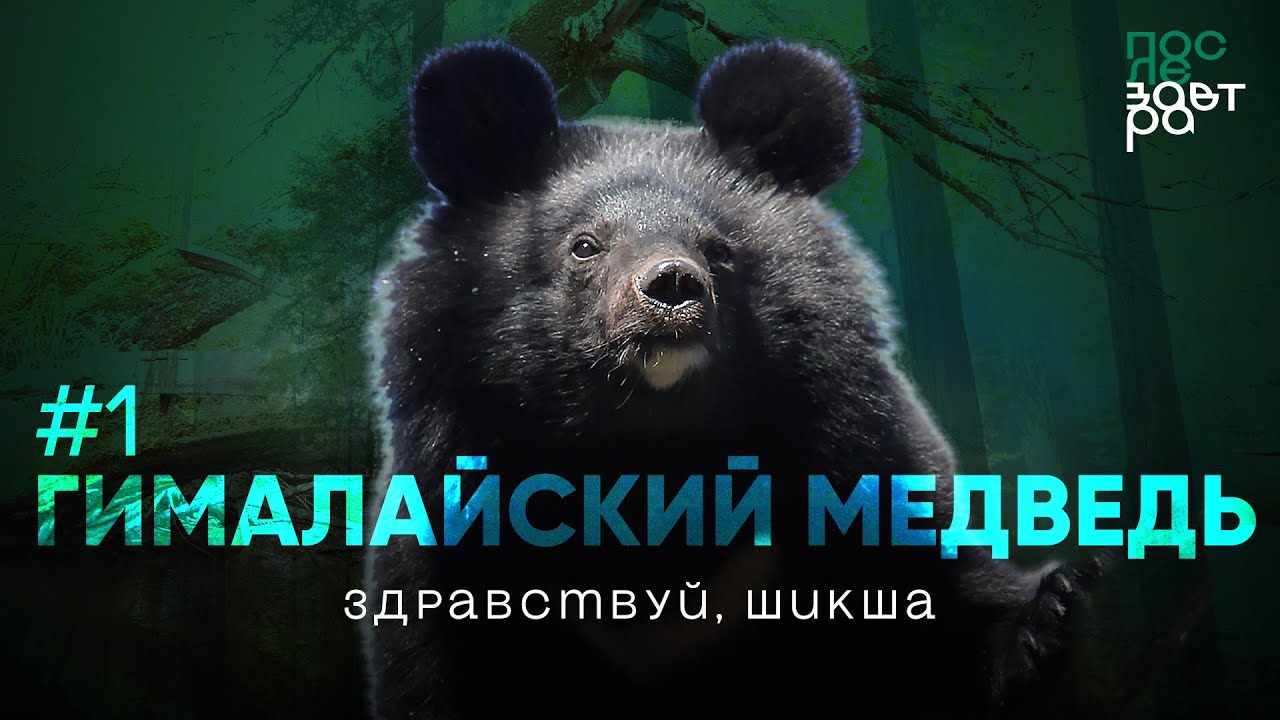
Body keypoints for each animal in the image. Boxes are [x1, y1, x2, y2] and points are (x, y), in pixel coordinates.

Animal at [362, 39, 1099, 719]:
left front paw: (1052, 610)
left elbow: (939, 595)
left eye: (717, 250)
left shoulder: (853, 459)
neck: (653, 450)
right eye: (585, 246)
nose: (671, 287)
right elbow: (436, 669)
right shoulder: (455, 519)